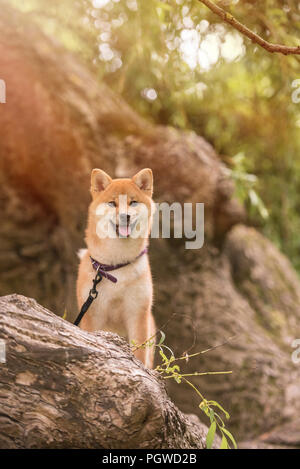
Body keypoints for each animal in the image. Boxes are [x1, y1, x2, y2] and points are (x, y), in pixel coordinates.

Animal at [76, 168, 157, 370]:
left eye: (133, 202)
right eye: (112, 203)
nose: (124, 216)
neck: (117, 266)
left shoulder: (137, 313)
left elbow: (140, 352)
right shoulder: (92, 315)